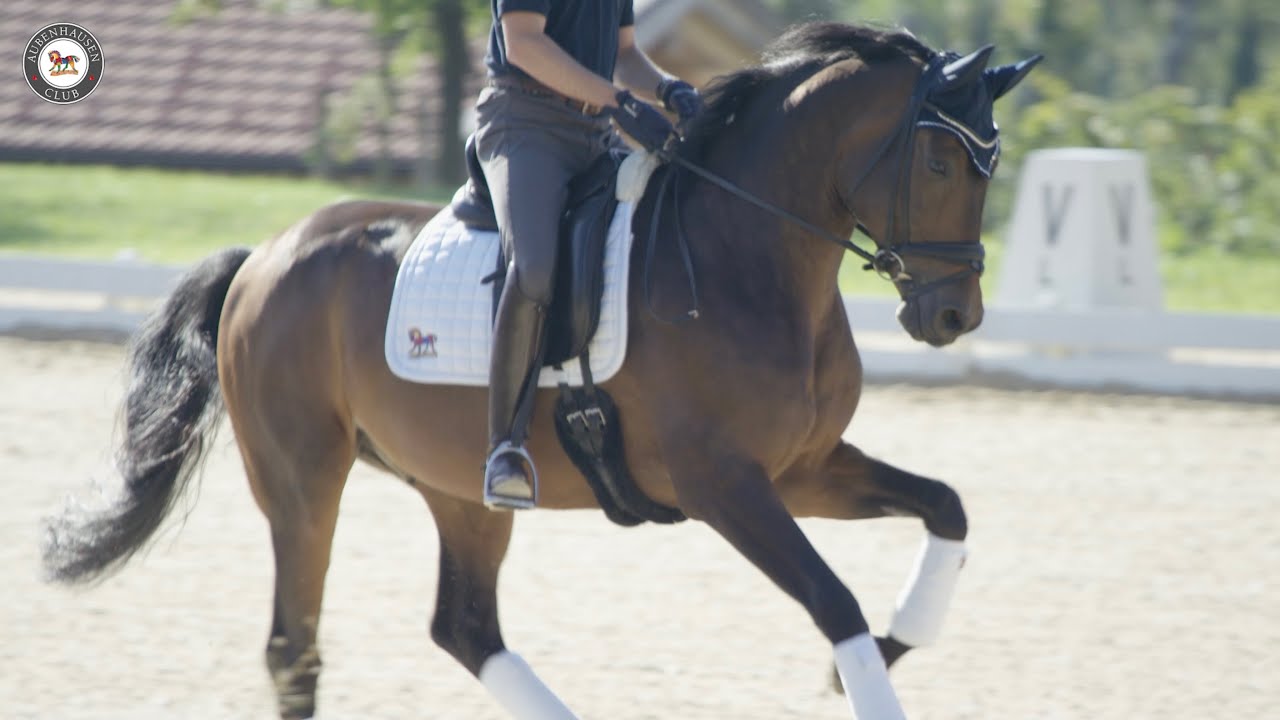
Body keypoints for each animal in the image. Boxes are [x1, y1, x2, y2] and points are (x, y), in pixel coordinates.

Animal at [42, 22, 1039, 720]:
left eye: (990, 164)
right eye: (940, 158)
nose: (953, 317)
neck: (746, 256)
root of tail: (268, 254)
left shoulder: (802, 469)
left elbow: (946, 506)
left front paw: (903, 637)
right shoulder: (724, 484)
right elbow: (833, 601)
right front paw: (864, 664)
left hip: (457, 487)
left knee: (463, 626)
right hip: (301, 477)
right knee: (296, 644)